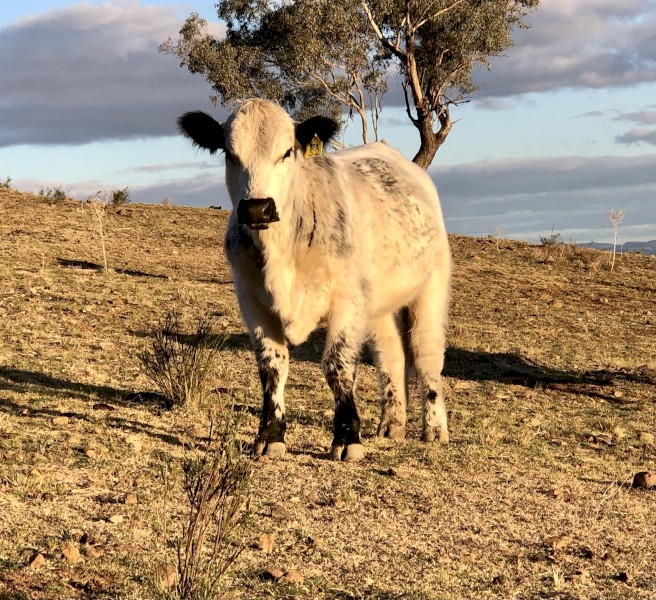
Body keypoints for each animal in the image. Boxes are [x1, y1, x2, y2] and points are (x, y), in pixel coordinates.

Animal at [178, 99, 451, 462]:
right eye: (229, 153)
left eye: (287, 152)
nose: (257, 209)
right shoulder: (252, 303)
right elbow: (272, 367)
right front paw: (270, 436)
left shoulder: (347, 303)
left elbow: (338, 366)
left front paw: (348, 439)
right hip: (377, 306)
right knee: (391, 354)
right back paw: (392, 424)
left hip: (430, 289)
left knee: (425, 355)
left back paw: (434, 428)